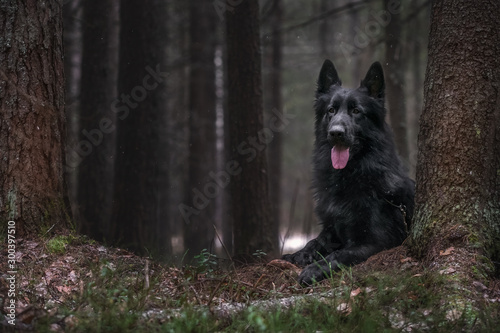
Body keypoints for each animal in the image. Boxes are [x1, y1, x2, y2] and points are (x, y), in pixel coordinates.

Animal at [282, 59, 414, 282]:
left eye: (356, 111)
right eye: (331, 110)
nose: (336, 133)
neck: (347, 176)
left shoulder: (376, 243)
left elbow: (341, 253)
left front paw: (314, 268)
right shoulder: (331, 228)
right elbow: (314, 241)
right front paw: (298, 255)